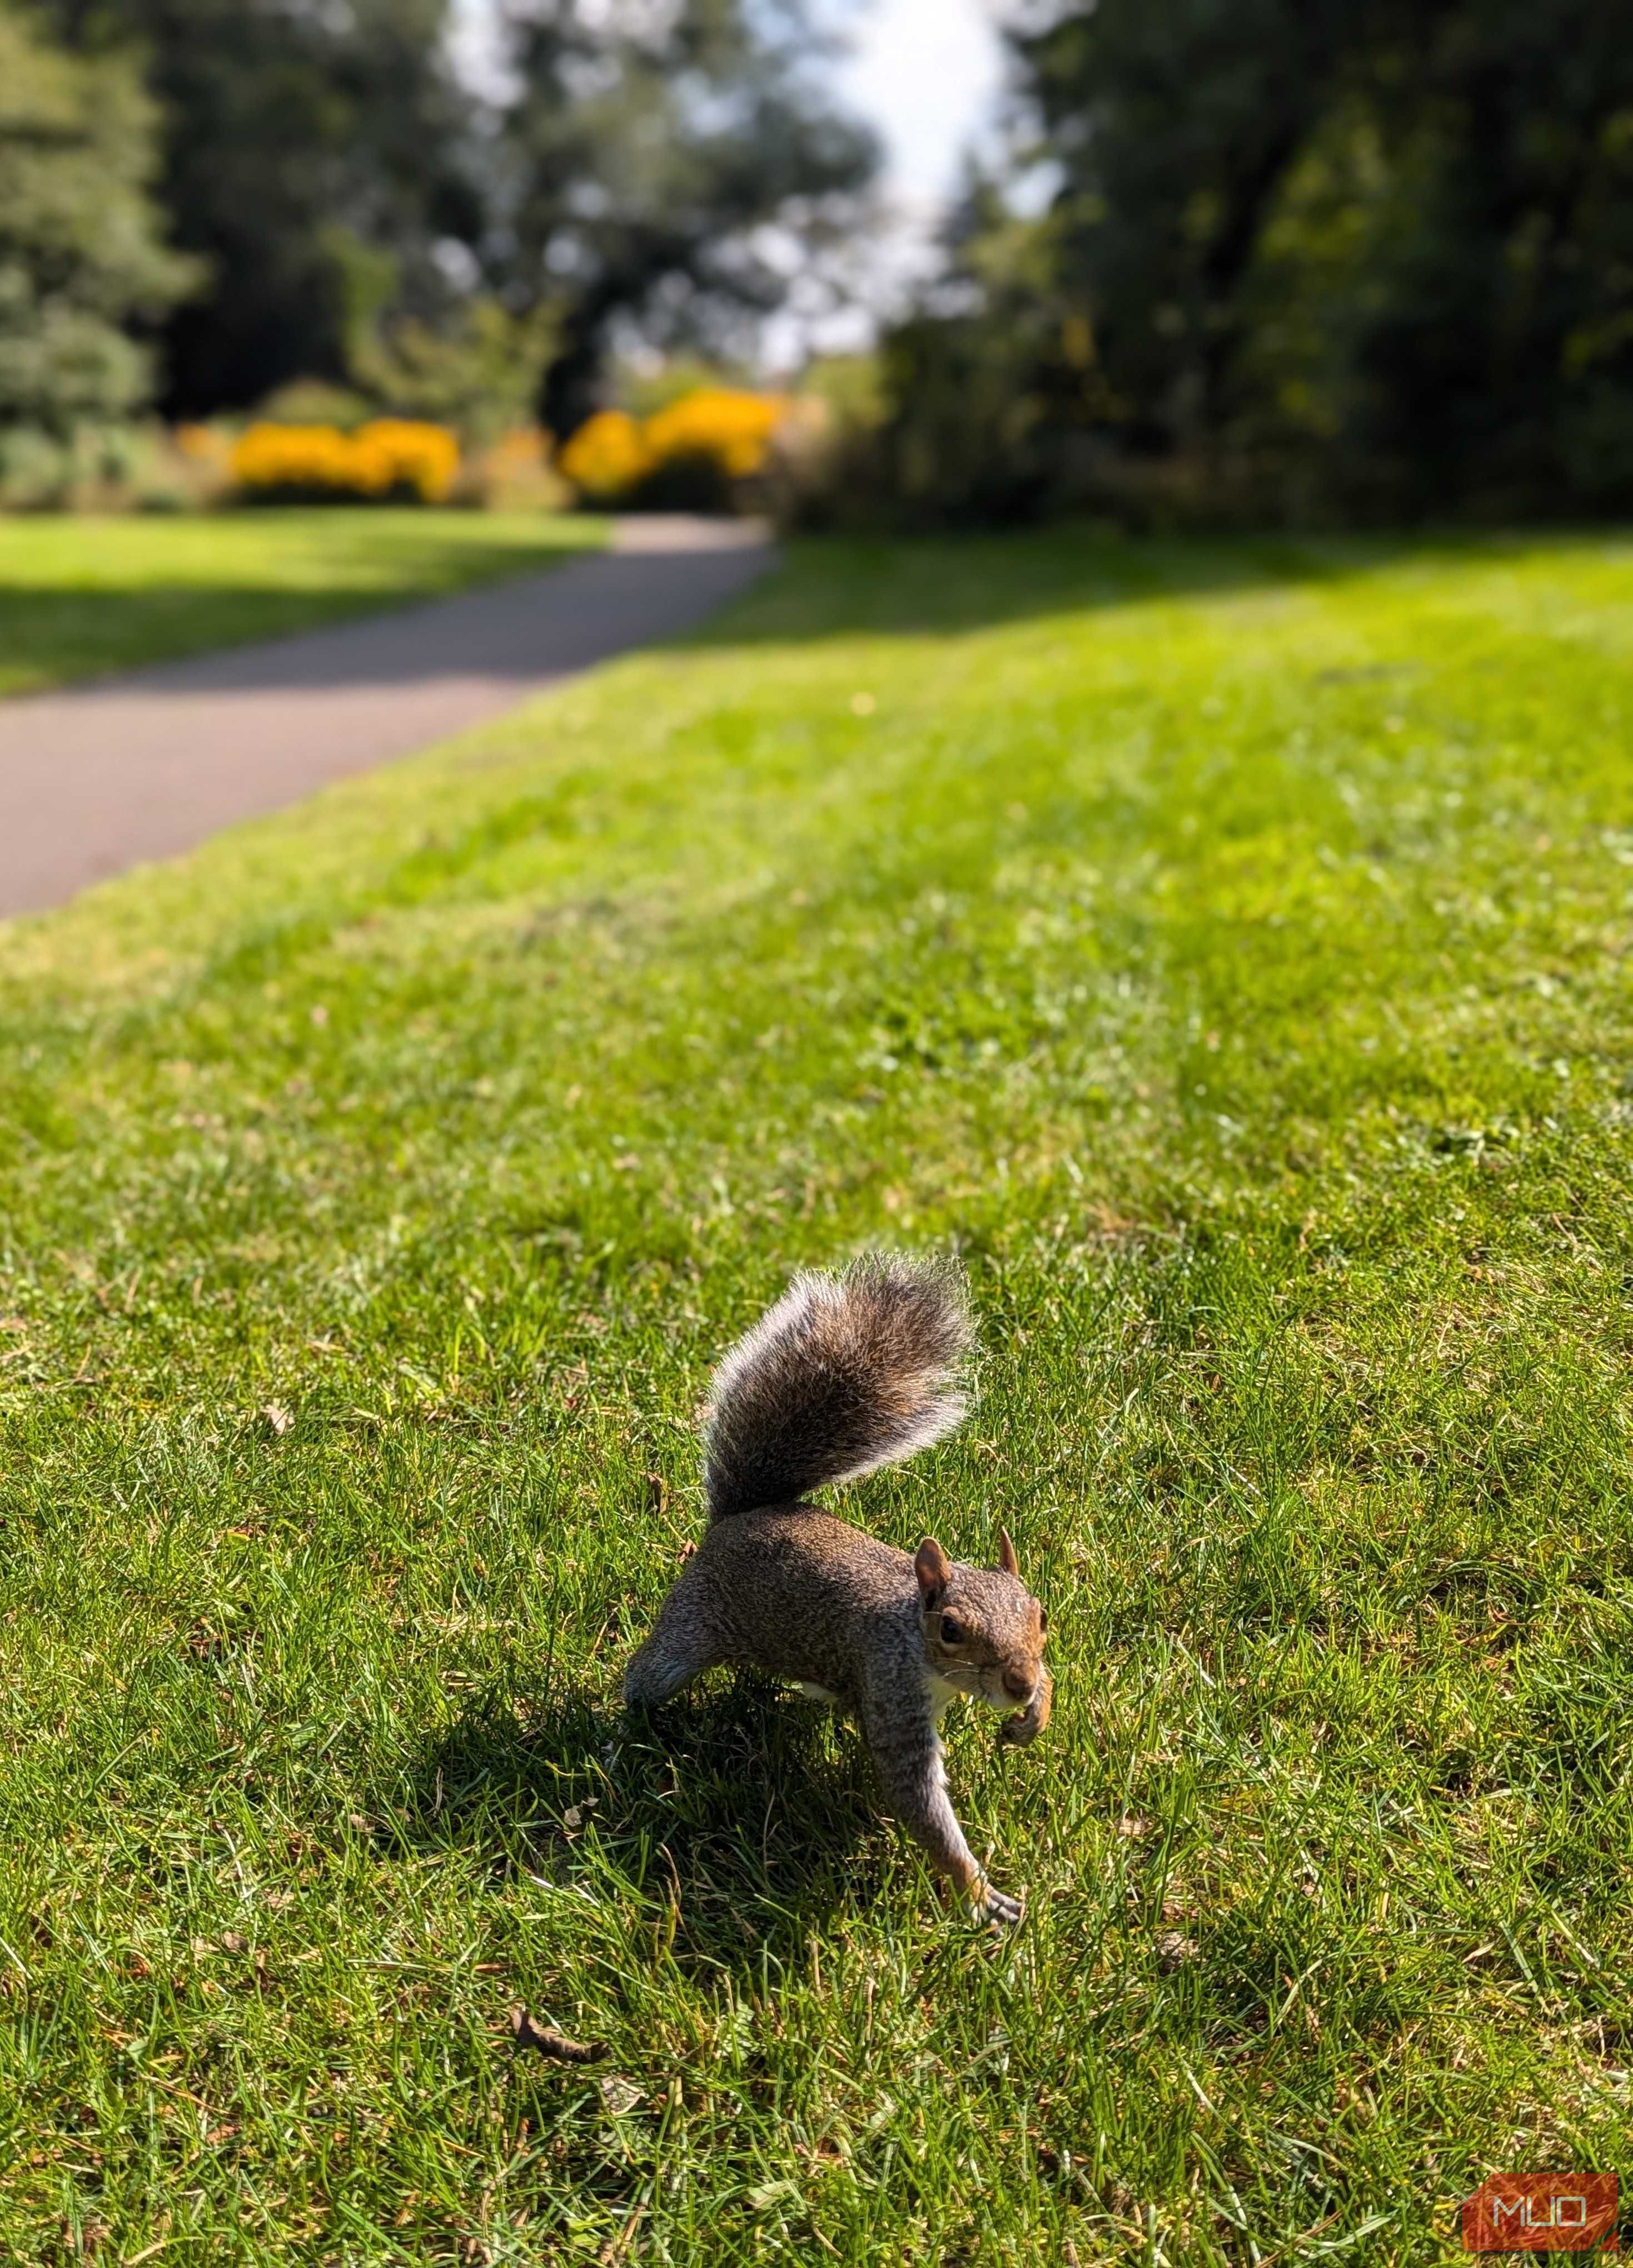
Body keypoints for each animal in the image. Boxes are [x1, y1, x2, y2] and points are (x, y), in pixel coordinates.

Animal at [616, 1252, 1052, 1923]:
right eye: (951, 1630)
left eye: (1041, 1616)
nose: (1019, 1684)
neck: (912, 1634)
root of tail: (741, 1517)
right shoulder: (890, 1685)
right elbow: (917, 1797)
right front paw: (979, 1894)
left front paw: (1035, 1717)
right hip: (690, 1625)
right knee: (646, 1678)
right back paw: (625, 1733)